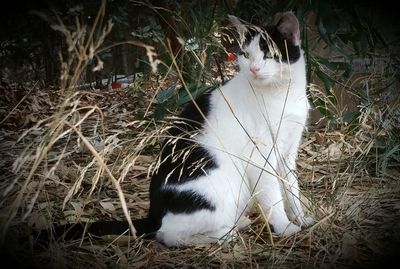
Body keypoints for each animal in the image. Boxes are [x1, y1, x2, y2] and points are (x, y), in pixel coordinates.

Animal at [38, 12, 312, 247]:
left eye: (269, 55)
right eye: (246, 54)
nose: (253, 68)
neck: (282, 94)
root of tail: (153, 213)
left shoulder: (287, 151)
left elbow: (291, 188)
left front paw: (302, 217)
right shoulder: (260, 156)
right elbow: (273, 196)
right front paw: (285, 227)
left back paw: (237, 223)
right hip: (219, 186)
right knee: (169, 234)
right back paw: (225, 234)